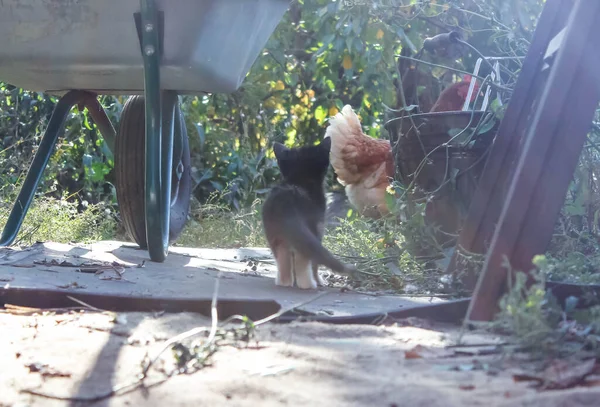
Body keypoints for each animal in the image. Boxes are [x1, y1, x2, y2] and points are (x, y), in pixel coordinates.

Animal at [262, 138, 356, 290]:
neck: (300, 178)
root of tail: (286, 202)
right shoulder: (319, 227)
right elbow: (314, 263)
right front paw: (318, 280)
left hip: (275, 235)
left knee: (284, 261)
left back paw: (285, 283)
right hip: (310, 230)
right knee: (306, 260)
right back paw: (310, 284)